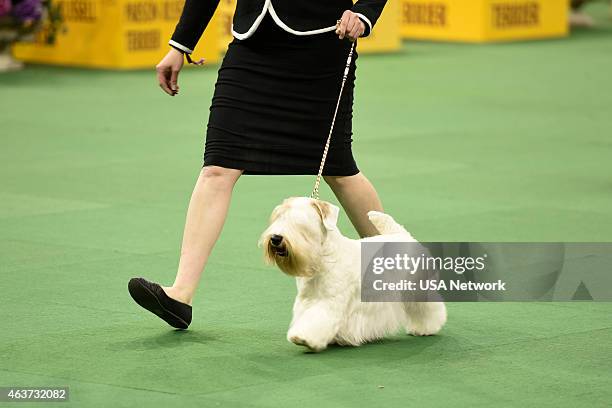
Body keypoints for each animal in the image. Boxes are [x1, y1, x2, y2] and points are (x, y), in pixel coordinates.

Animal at [258, 198, 444, 350]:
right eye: (278, 217)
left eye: (300, 223)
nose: (275, 238)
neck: (323, 259)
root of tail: (404, 236)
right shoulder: (306, 300)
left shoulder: (330, 302)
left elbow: (317, 319)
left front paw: (302, 337)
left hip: (416, 288)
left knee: (428, 308)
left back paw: (425, 328)